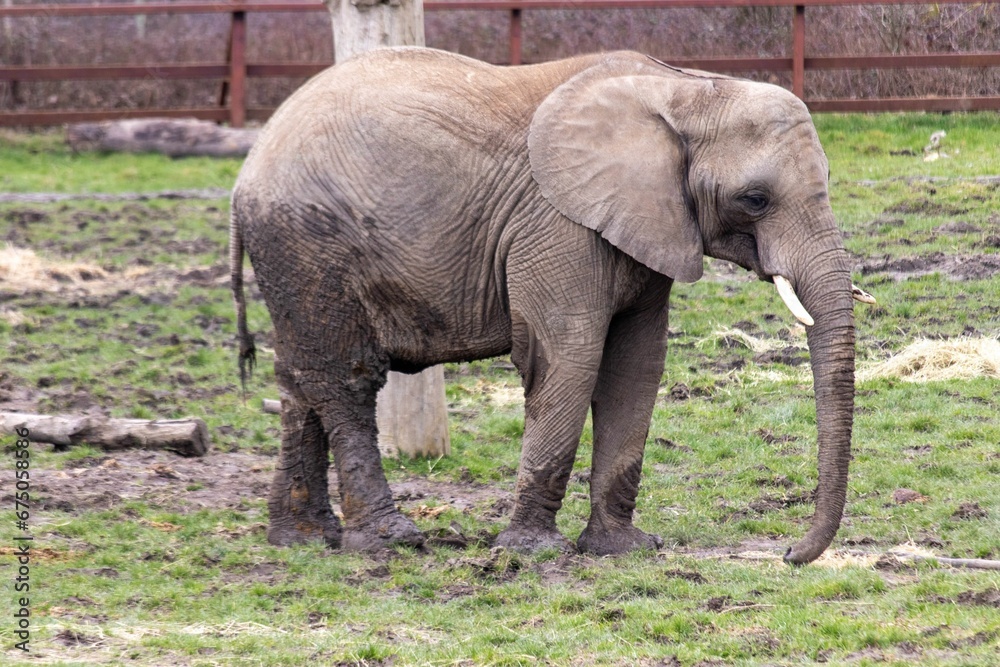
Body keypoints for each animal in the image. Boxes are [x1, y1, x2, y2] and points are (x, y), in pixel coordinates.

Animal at [231, 46, 870, 564]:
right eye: (755, 199)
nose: (788, 552)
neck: (685, 89)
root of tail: (247, 168)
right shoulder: (559, 226)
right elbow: (569, 358)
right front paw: (533, 554)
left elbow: (636, 365)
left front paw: (624, 550)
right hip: (311, 244)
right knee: (347, 379)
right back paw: (390, 542)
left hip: (294, 257)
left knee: (298, 380)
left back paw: (301, 541)